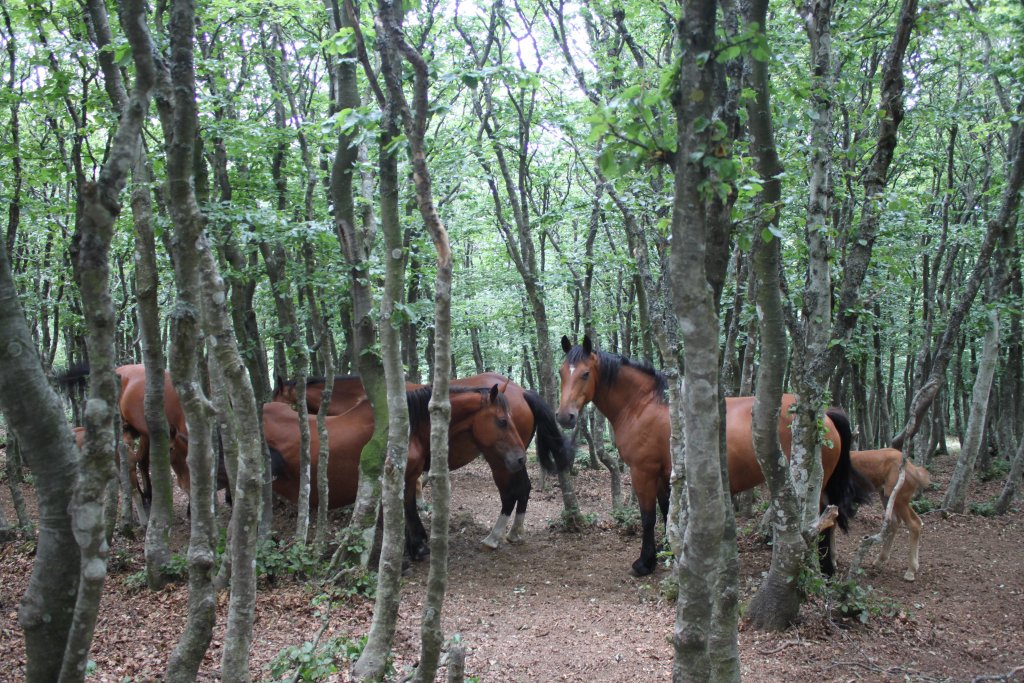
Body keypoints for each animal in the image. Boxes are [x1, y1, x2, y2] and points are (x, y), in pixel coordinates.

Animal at [274, 374, 577, 557]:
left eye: (282, 401)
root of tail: (521, 390)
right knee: (523, 489)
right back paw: (515, 533)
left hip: (500, 460)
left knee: (511, 493)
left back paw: (495, 536)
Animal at [552, 335, 872, 577]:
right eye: (561, 372)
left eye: (585, 374)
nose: (565, 417)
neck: (645, 405)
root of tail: (825, 416)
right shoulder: (664, 475)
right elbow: (667, 511)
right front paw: (667, 552)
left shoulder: (643, 472)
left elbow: (647, 517)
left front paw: (644, 563)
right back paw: (826, 567)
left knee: (821, 519)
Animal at [847, 448, 929, 581]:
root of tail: (915, 471)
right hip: (887, 496)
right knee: (897, 522)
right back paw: (880, 560)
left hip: (899, 498)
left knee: (914, 524)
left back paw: (910, 571)